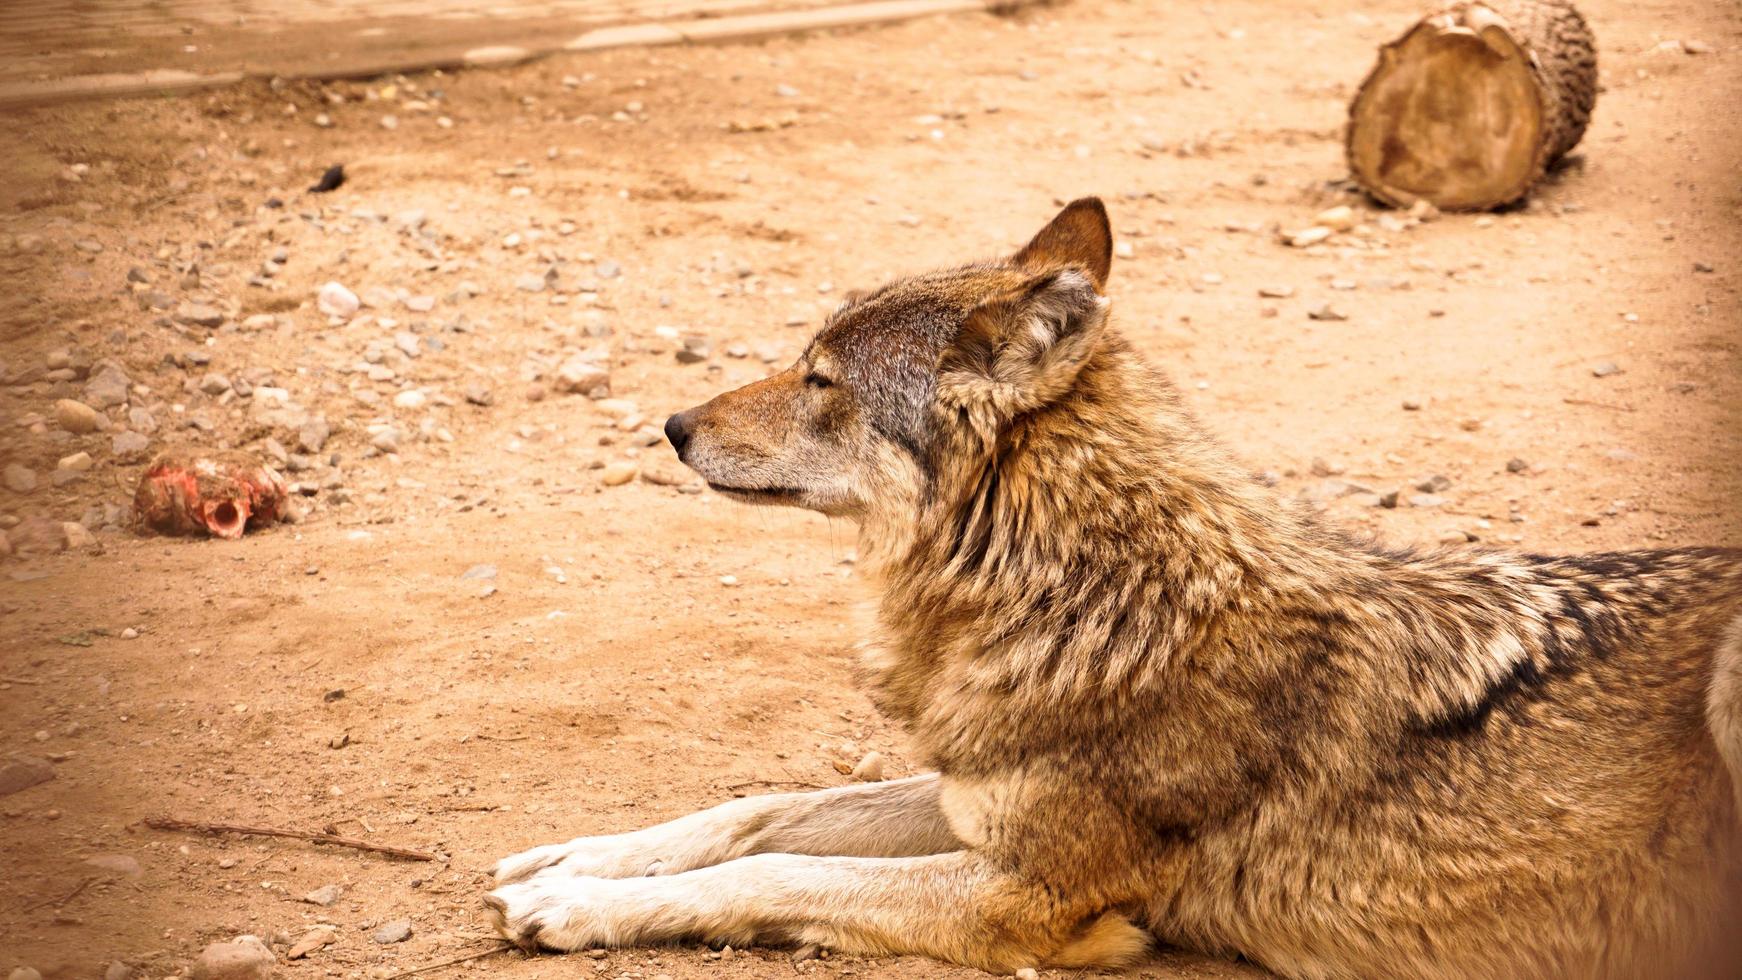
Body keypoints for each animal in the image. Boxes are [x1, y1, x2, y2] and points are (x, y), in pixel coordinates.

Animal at [484, 199, 1742, 980]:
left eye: (819, 379)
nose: (671, 424)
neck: (1081, 593)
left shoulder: (1037, 896)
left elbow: (777, 864)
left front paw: (575, 909)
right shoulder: (974, 796)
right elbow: (754, 810)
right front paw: (569, 859)